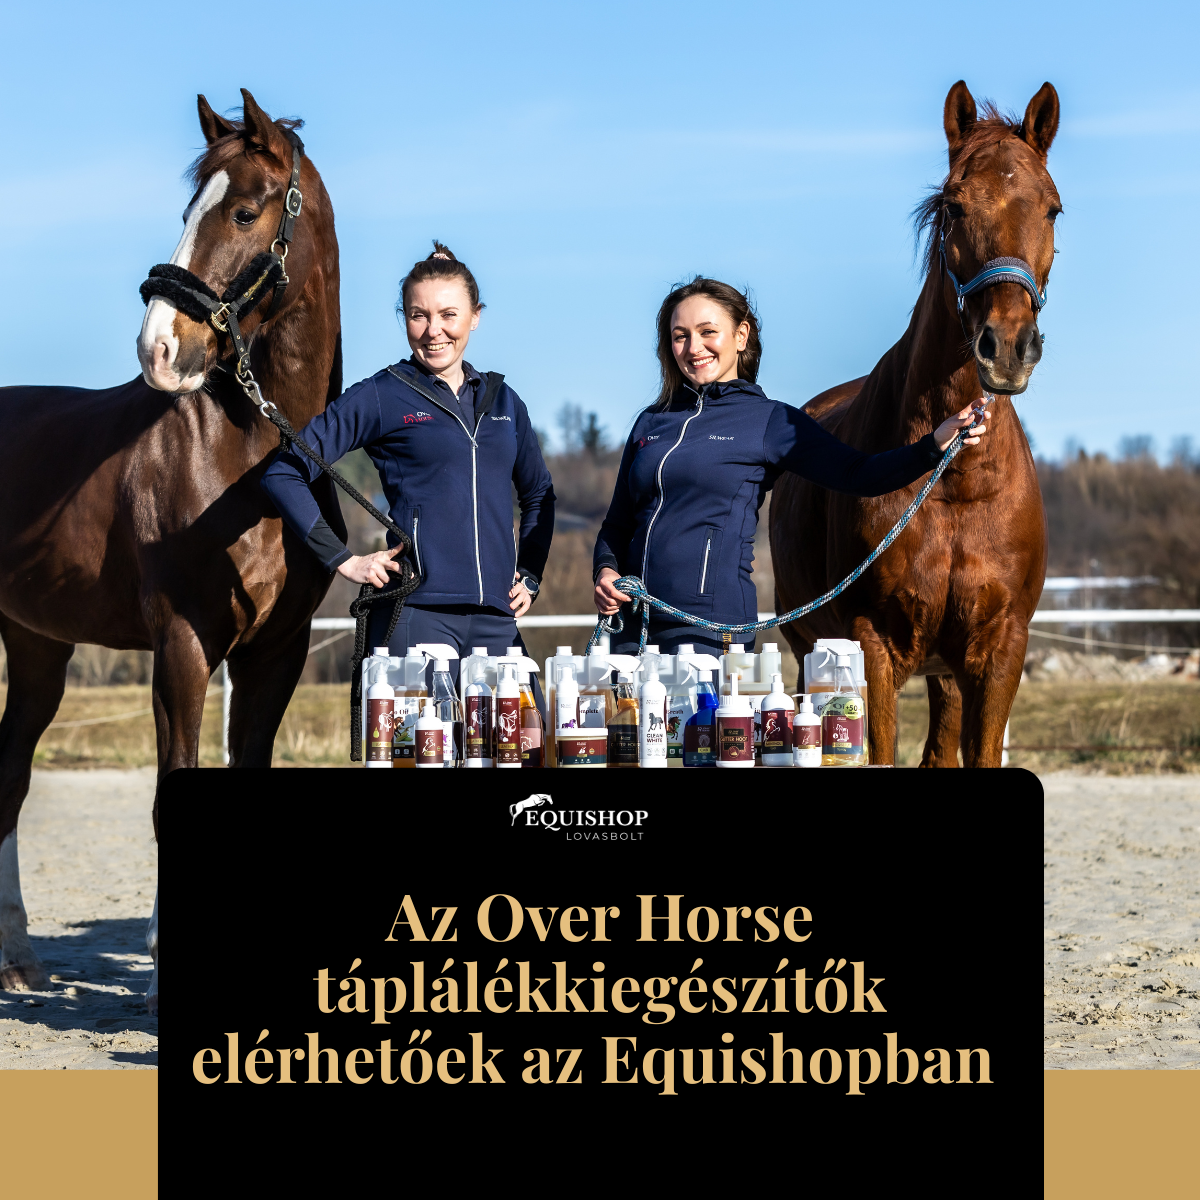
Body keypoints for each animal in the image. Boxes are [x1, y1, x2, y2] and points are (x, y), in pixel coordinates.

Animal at [0, 90, 348, 1012]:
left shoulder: (275, 653)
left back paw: (17, 955)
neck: (246, 462)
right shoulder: (183, 645)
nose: (158, 347)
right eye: (187, 209)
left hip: (37, 647)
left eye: (244, 211)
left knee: (8, 771)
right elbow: (168, 795)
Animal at [769, 81, 1060, 767]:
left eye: (1053, 210)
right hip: (810, 649)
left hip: (946, 672)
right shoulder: (872, 645)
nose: (1008, 348)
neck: (956, 482)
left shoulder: (998, 651)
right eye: (954, 206)